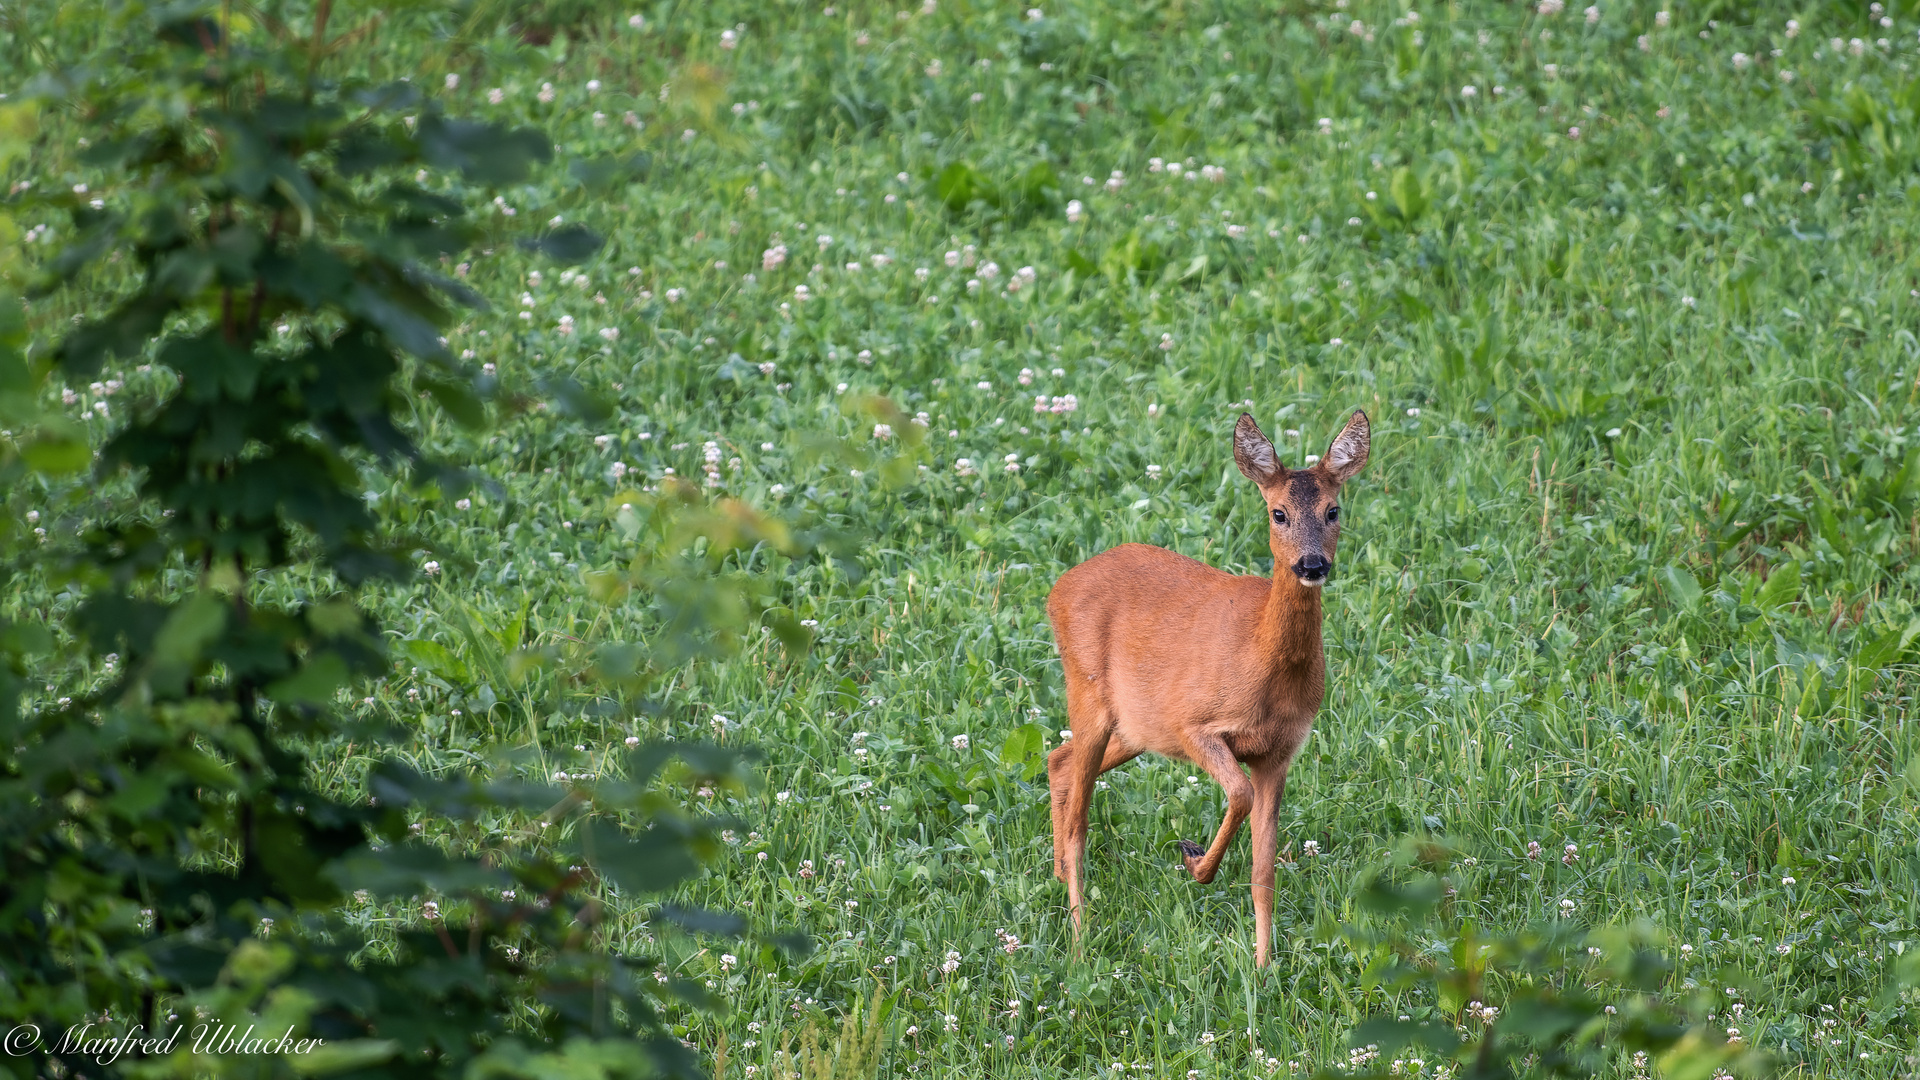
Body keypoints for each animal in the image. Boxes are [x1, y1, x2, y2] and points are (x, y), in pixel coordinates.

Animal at [1052, 407, 1367, 960]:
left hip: (1134, 726)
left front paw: (1264, 968)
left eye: (1333, 510)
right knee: (1078, 817)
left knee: (1058, 761)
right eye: (1278, 513)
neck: (1265, 669)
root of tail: (1057, 590)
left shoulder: (1279, 752)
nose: (1312, 564)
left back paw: (1054, 876)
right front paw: (1195, 862)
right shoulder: (1192, 724)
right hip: (1088, 690)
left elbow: (1264, 872)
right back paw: (1079, 933)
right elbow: (1238, 794)